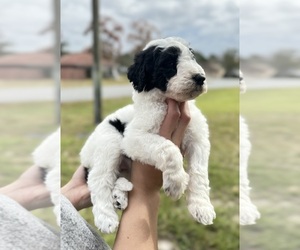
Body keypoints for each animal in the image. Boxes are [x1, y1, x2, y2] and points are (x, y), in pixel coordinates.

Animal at [79, 37, 216, 234]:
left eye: (192, 58)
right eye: (169, 63)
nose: (200, 78)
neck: (166, 103)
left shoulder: (199, 140)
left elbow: (199, 172)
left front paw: (201, 207)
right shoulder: (133, 138)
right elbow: (169, 148)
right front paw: (176, 183)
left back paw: (119, 197)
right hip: (110, 143)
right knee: (99, 179)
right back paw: (106, 218)